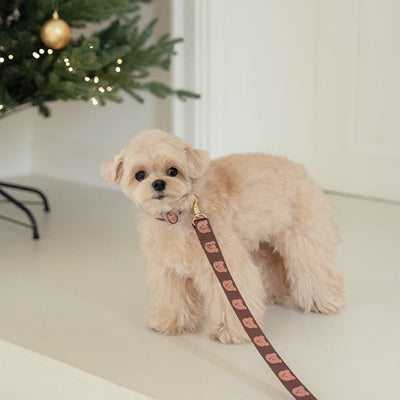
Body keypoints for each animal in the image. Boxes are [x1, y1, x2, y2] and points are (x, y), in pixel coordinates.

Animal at [101, 130, 345, 344]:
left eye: (173, 171)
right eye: (139, 175)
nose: (159, 183)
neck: (178, 214)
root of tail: (299, 168)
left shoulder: (224, 264)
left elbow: (231, 300)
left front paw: (230, 331)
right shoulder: (168, 271)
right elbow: (173, 298)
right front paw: (170, 321)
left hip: (303, 236)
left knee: (314, 266)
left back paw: (325, 301)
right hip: (262, 242)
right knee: (272, 264)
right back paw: (273, 294)